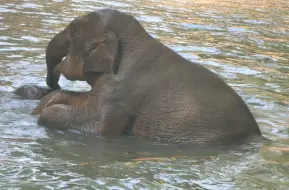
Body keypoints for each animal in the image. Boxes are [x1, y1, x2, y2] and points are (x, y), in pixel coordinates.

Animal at [29, 8, 260, 143]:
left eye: (72, 32)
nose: (52, 83)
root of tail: (257, 133)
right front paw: (39, 107)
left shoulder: (123, 94)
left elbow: (101, 125)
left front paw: (43, 113)